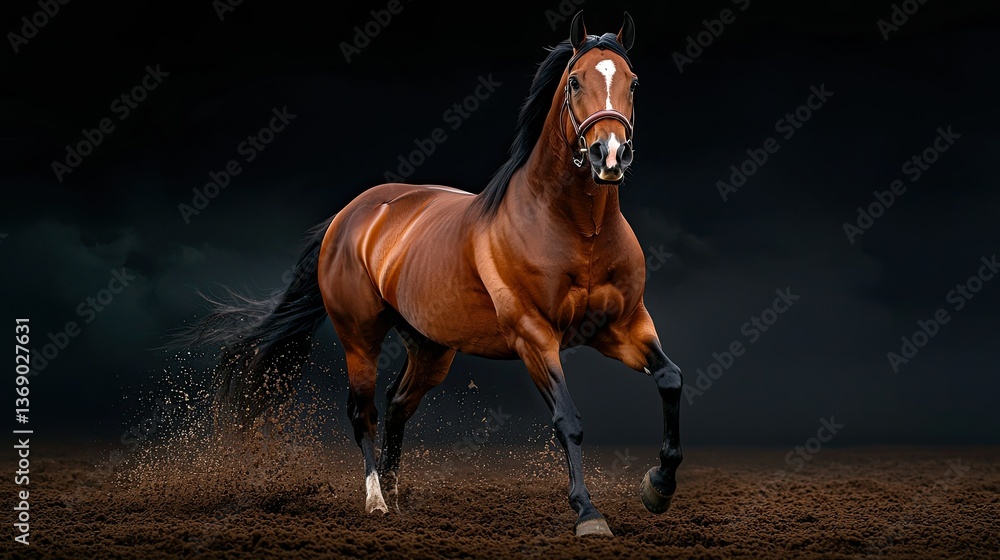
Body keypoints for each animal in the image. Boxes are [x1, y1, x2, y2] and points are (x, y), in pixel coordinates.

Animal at [179, 12, 683, 537]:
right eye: (575, 81)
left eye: (633, 81)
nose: (611, 154)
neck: (579, 232)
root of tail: (349, 215)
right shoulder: (534, 336)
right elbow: (568, 419)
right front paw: (588, 514)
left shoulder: (622, 326)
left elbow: (671, 378)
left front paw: (658, 488)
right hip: (360, 338)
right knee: (364, 411)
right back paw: (377, 501)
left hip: (430, 347)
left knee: (398, 404)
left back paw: (396, 495)